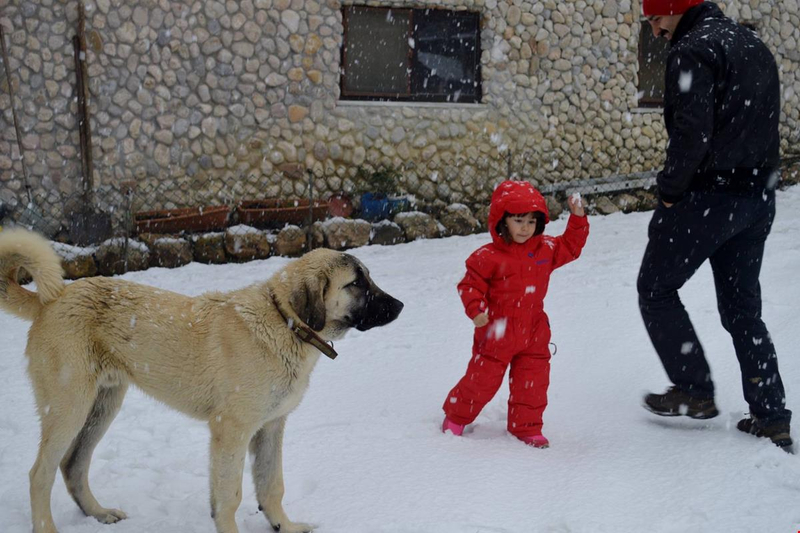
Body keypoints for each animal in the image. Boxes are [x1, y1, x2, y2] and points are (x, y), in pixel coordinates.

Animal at [0, 228, 400, 532]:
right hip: (68, 406)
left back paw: (99, 513)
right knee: (40, 474)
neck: (284, 323)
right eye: (357, 283)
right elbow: (231, 496)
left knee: (73, 466)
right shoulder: (231, 429)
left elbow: (271, 485)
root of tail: (51, 299)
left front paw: (284, 526)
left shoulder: (270, 427)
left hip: (104, 404)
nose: (400, 306)